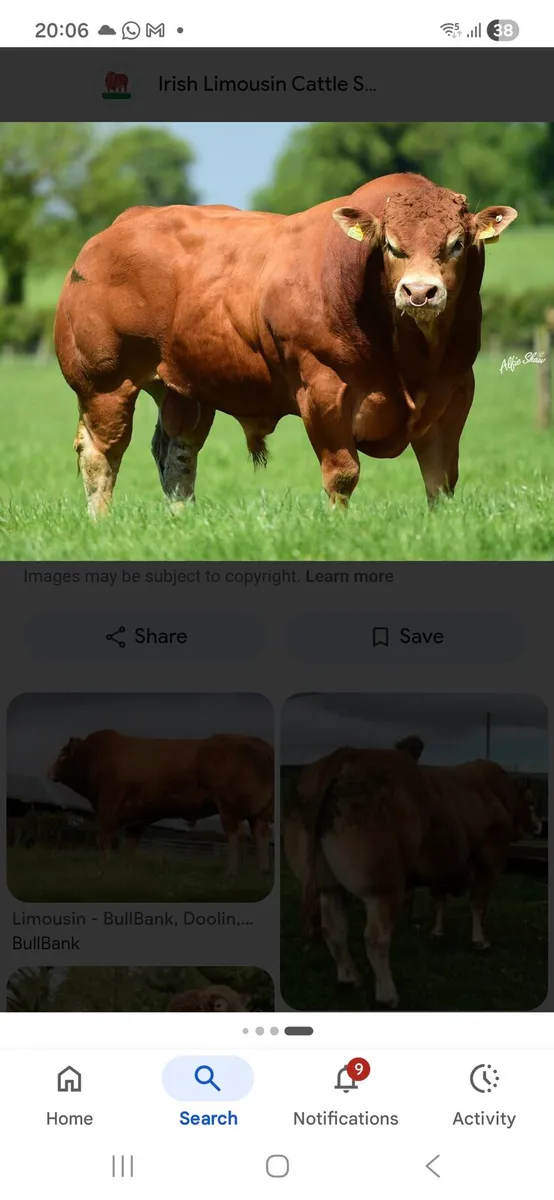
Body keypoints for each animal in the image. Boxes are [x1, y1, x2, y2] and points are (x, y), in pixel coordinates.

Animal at [48, 729, 274, 875]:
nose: (50, 772)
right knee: (260, 834)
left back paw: (231, 870)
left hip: (228, 808)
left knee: (237, 835)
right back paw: (263, 869)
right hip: (259, 812)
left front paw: (102, 867)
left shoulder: (107, 809)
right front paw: (125, 869)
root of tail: (261, 745)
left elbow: (104, 839)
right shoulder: (136, 818)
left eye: (62, 755)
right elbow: (130, 845)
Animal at [54, 173, 517, 517]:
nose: (419, 292)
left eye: (456, 244)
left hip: (184, 388)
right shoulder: (323, 391)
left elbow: (440, 479)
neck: (411, 359)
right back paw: (100, 522)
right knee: (100, 455)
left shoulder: (455, 391)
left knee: (177, 454)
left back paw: (182, 520)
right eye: (391, 245)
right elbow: (343, 473)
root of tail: (116, 228)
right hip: (105, 385)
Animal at [283, 744, 541, 1008]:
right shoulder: (489, 862)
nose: (540, 826)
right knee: (375, 938)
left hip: (329, 885)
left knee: (333, 929)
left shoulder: (440, 867)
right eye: (531, 802)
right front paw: (480, 940)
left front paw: (437, 932)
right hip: (382, 888)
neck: (496, 794)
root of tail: (346, 755)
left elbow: (439, 900)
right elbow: (478, 904)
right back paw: (388, 995)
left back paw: (349, 977)